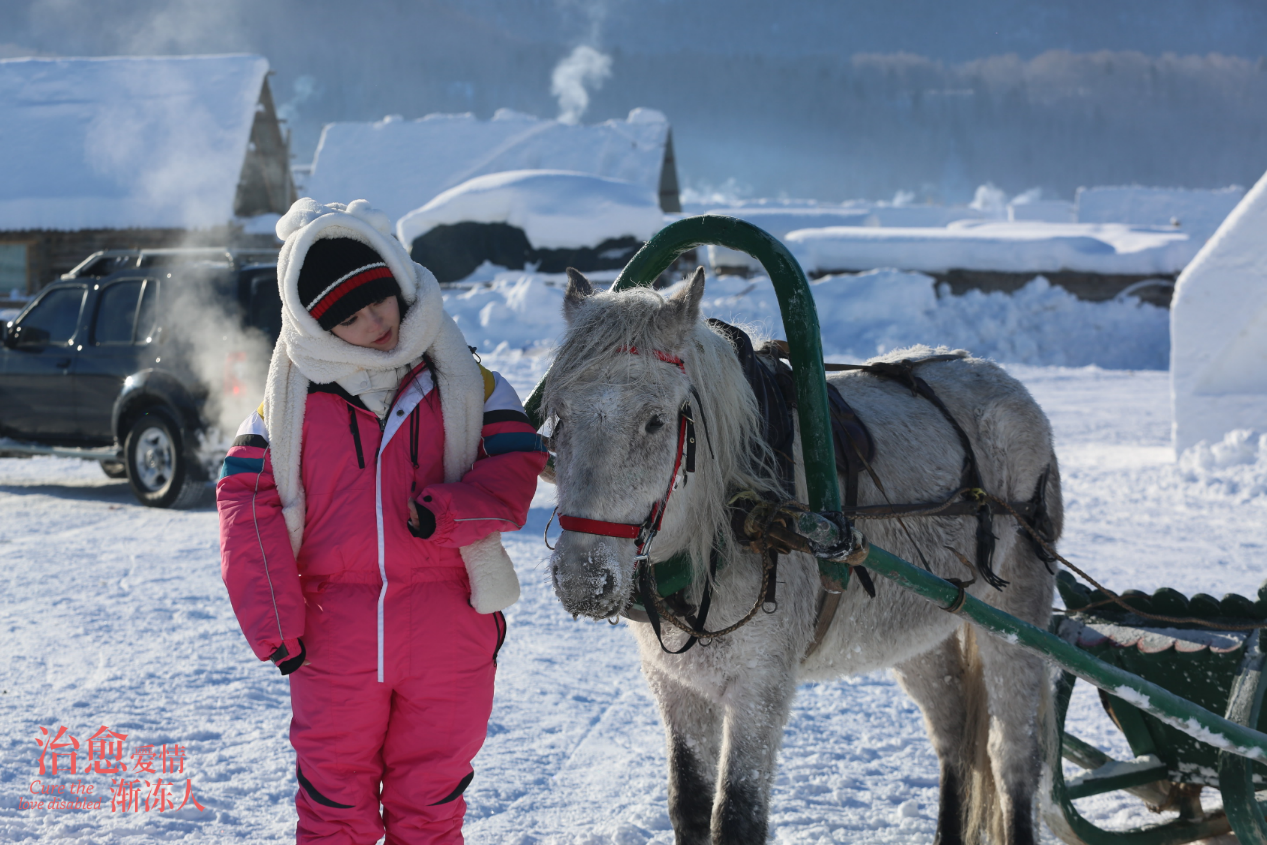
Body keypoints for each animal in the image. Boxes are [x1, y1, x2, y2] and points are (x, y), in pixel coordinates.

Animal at [544, 267, 1059, 841]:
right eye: (558, 416)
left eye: (656, 421)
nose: (582, 580)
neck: (739, 514)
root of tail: (1003, 380)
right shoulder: (676, 687)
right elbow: (689, 805)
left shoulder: (761, 686)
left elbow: (736, 816)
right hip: (918, 633)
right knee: (954, 740)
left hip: (1016, 615)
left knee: (1012, 758)